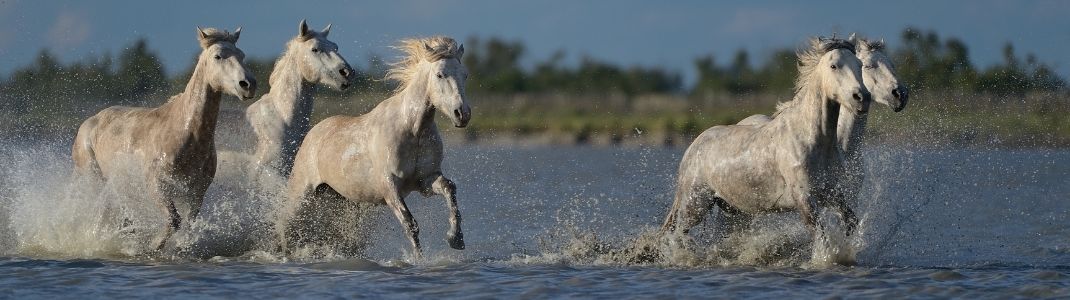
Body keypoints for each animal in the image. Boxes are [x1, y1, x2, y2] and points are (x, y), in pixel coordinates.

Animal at [72, 28, 256, 249]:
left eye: (242, 55)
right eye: (217, 56)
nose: (248, 85)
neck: (185, 135)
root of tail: (91, 121)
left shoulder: (196, 192)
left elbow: (188, 224)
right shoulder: (157, 185)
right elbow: (173, 220)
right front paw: (153, 245)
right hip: (93, 179)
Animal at [278, 35, 470, 254]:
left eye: (465, 75)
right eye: (439, 74)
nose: (462, 114)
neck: (413, 129)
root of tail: (310, 135)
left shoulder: (425, 180)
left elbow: (449, 187)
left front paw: (455, 239)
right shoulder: (389, 187)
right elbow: (410, 223)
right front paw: (418, 258)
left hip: (338, 198)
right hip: (301, 194)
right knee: (285, 225)